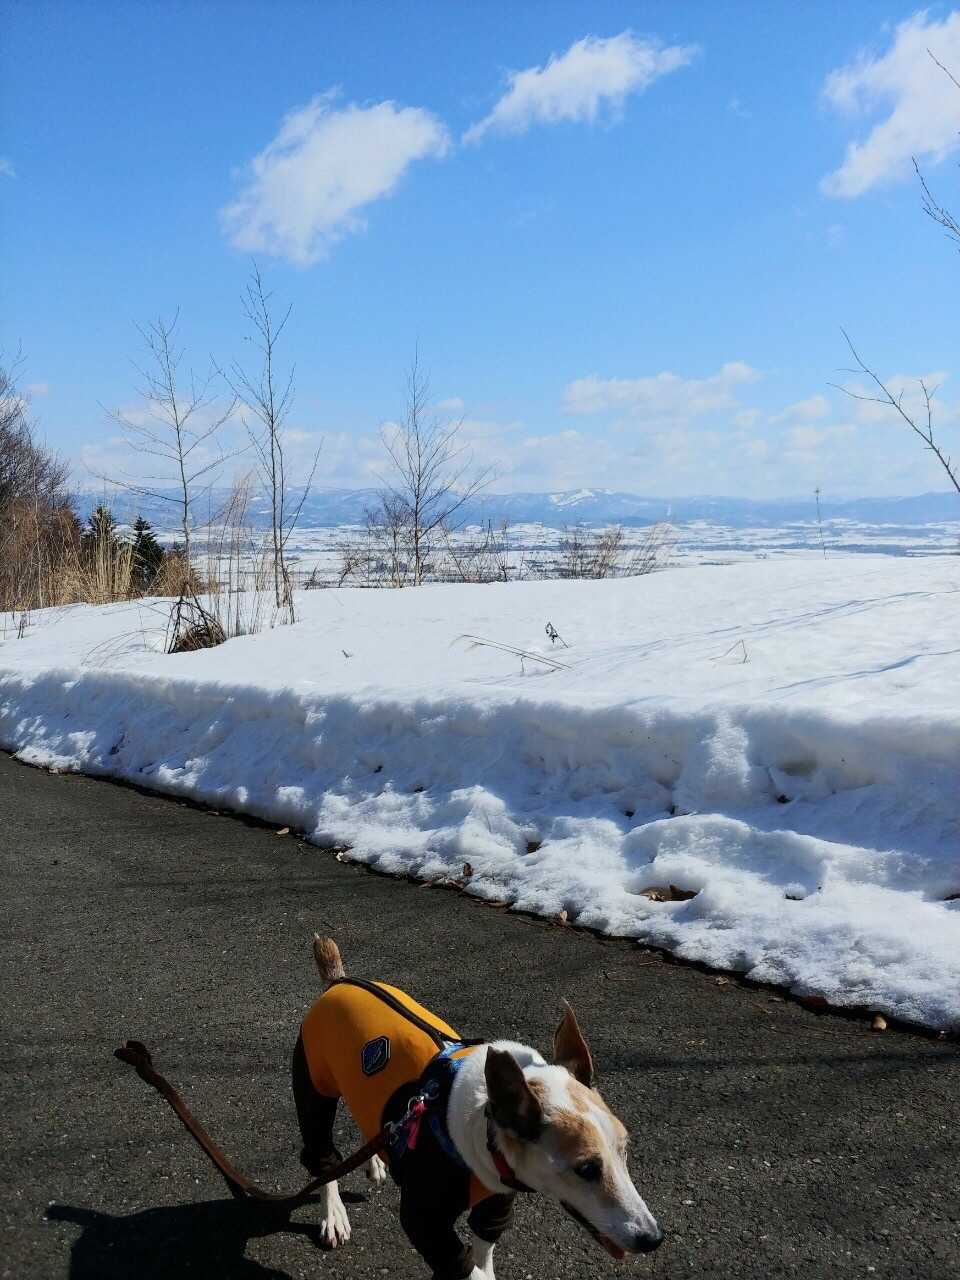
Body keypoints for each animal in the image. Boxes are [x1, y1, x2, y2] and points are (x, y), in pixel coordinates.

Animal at [290, 936, 663, 1279]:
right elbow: (465, 1266)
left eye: (625, 1150)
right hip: (314, 1082)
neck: (483, 1120)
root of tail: (339, 982)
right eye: (586, 1168)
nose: (653, 1239)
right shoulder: (425, 1222)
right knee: (322, 1156)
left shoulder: (496, 1199)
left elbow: (483, 1246)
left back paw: (375, 1161)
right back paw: (333, 1213)